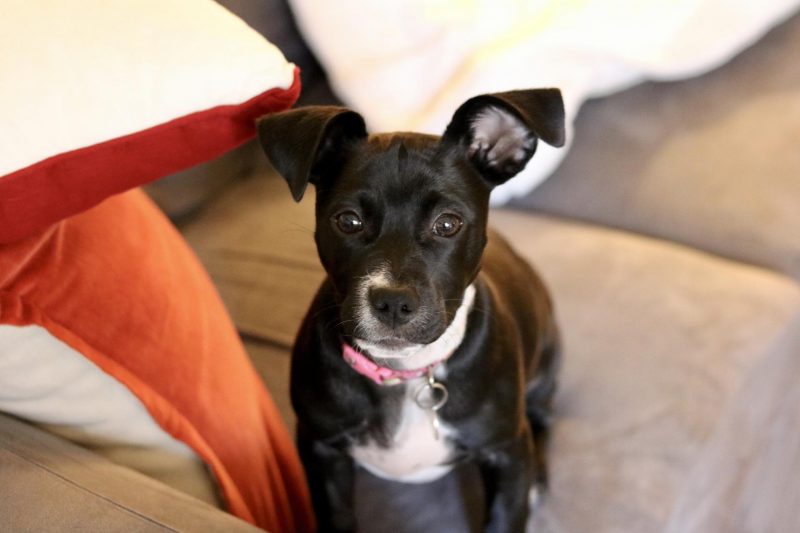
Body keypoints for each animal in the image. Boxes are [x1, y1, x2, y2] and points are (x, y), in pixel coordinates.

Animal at [260, 89, 564, 528]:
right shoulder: (321, 451)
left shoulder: (505, 452)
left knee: (542, 418)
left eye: (448, 224)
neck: (405, 374)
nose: (392, 302)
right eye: (348, 221)